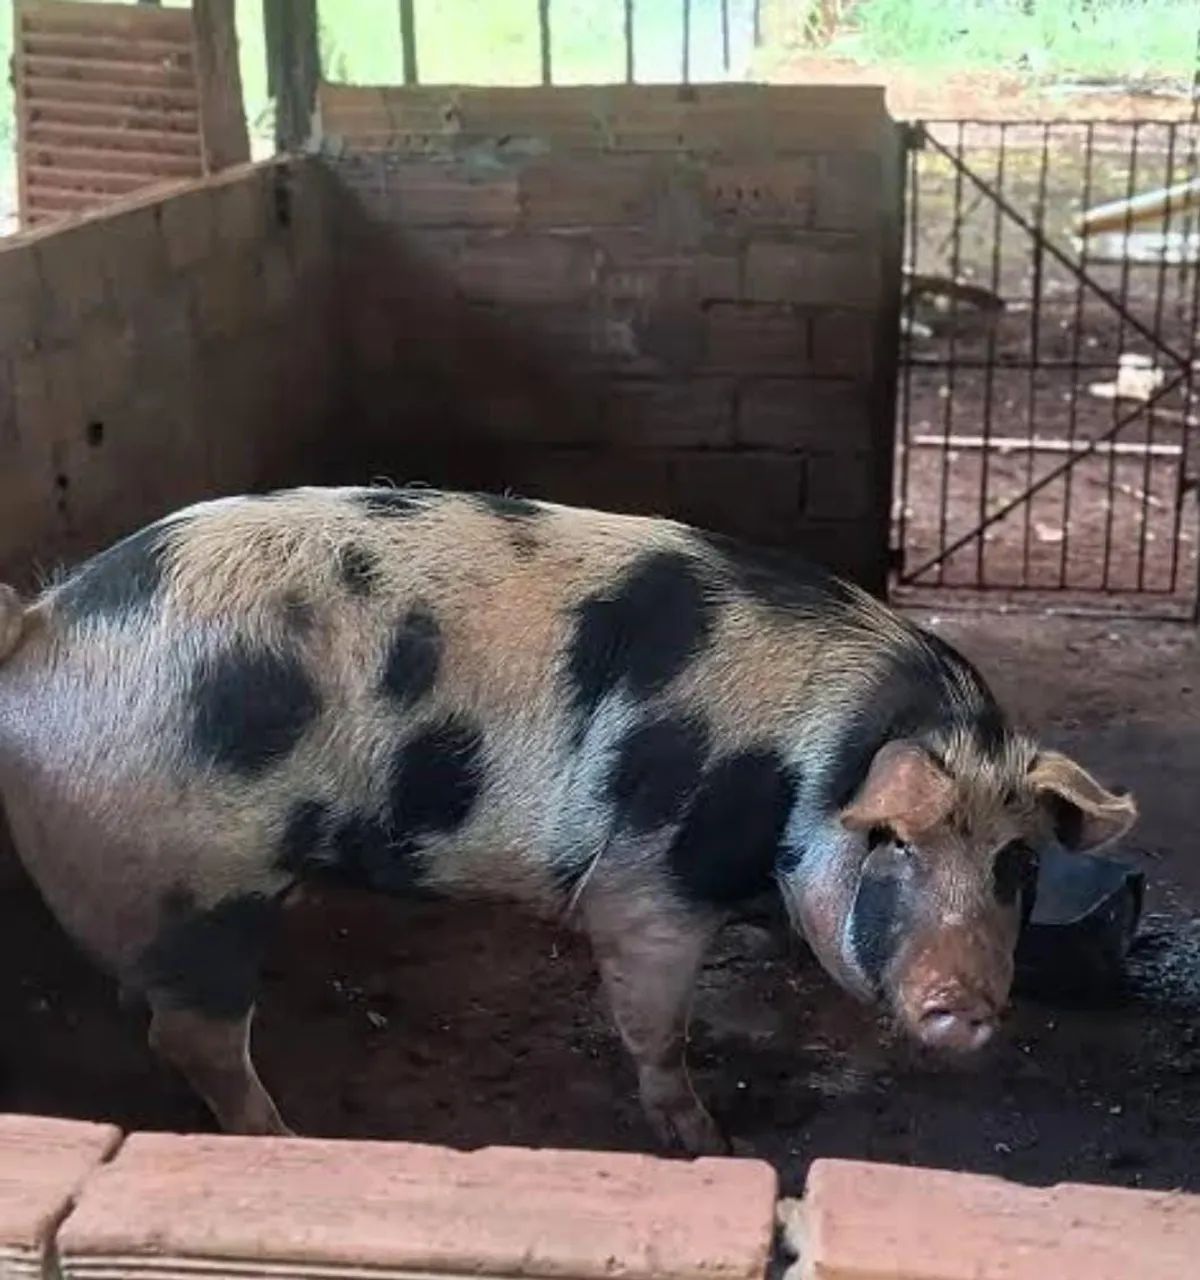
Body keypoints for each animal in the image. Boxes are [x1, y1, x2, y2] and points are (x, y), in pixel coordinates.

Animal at [0, 486, 1136, 1152]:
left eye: (1016, 862)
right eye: (891, 841)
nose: (963, 1002)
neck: (811, 767)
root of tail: (41, 622)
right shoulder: (648, 882)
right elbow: (654, 1023)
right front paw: (709, 1144)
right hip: (198, 882)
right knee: (190, 1032)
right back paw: (286, 1137)